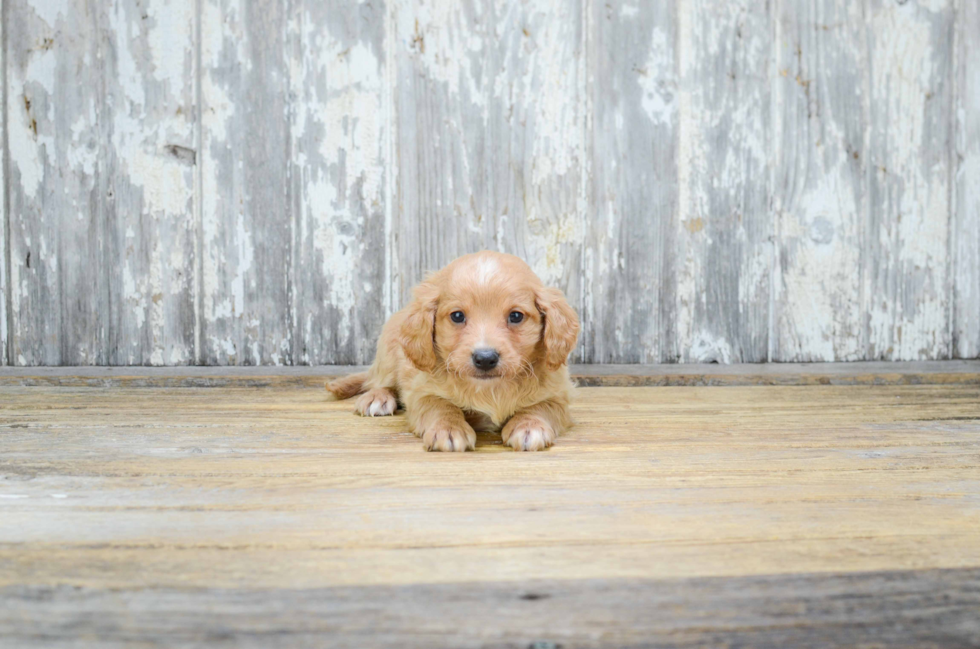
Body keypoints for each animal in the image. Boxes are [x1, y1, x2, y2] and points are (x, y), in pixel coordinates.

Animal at [326, 251, 580, 454]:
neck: (490, 389)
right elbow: (440, 405)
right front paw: (448, 429)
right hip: (389, 349)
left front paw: (529, 425)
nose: (485, 358)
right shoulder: (421, 391)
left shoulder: (559, 392)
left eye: (516, 316)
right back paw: (378, 398)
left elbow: (543, 406)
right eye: (457, 316)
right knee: (378, 380)